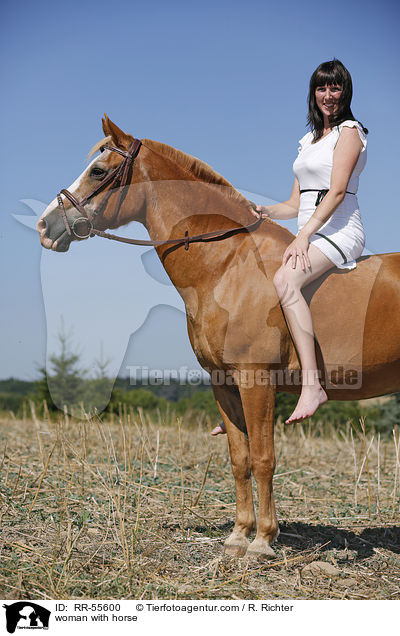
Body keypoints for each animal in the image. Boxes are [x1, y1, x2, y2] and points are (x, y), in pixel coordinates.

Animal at [36, 117, 400, 560]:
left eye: (99, 171)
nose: (46, 225)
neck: (227, 264)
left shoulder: (255, 381)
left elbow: (263, 458)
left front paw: (263, 541)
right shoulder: (224, 383)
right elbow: (239, 459)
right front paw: (239, 536)